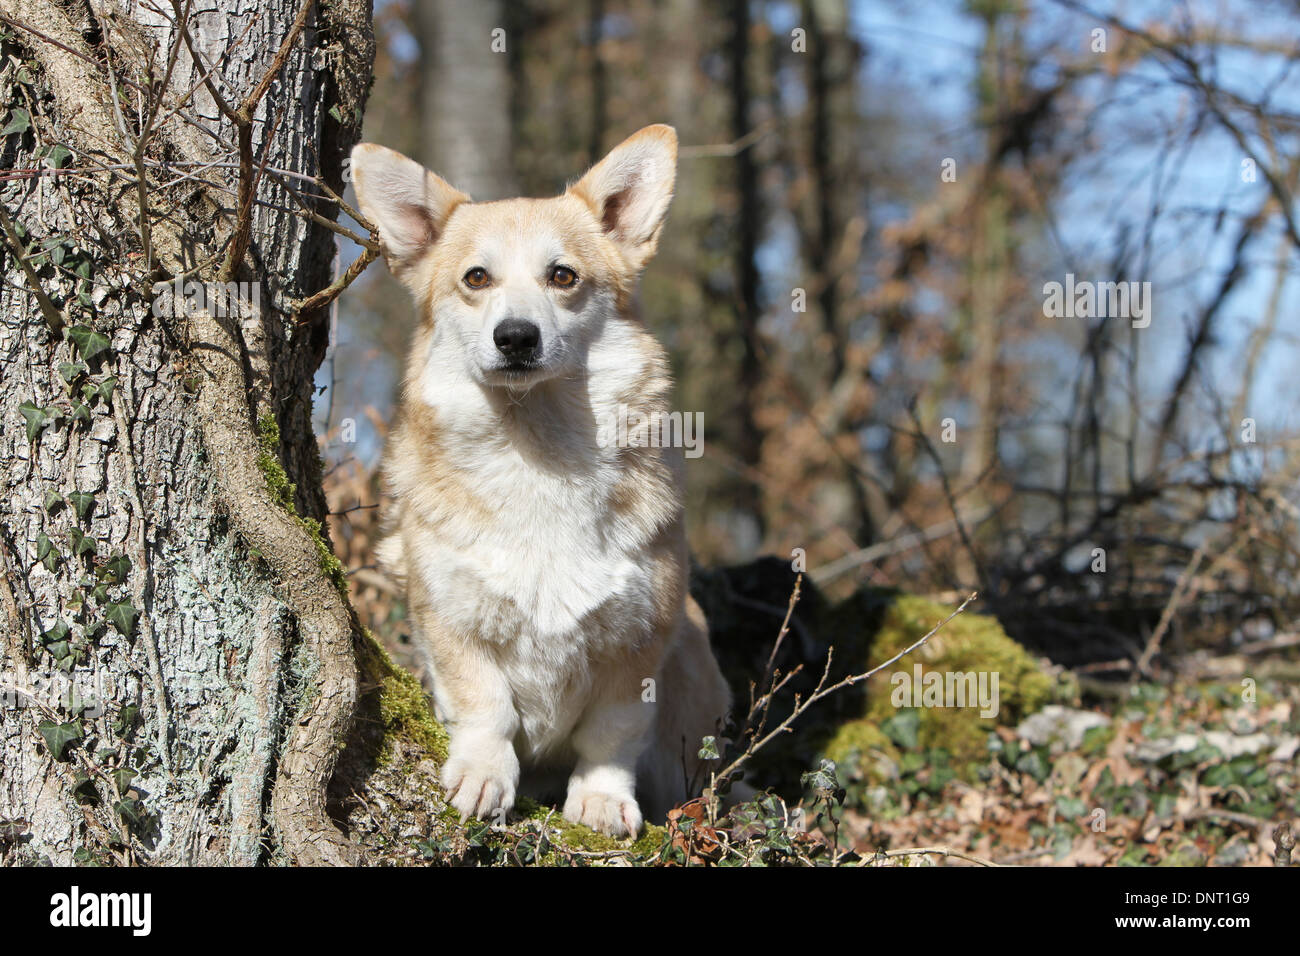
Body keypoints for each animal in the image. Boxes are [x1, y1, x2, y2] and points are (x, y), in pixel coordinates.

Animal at [351, 123, 738, 832]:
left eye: (563, 276)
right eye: (476, 277)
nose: (516, 337)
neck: (539, 449)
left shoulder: (638, 643)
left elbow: (611, 735)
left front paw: (601, 803)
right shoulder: (452, 626)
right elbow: (485, 710)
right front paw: (483, 777)